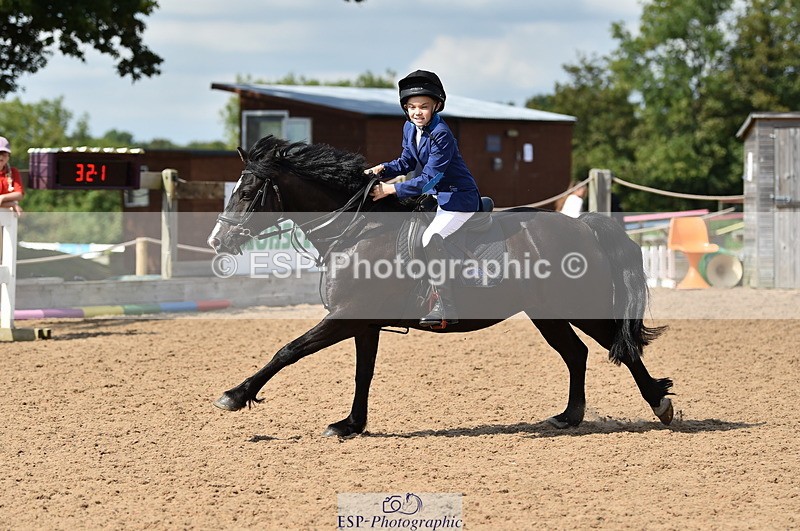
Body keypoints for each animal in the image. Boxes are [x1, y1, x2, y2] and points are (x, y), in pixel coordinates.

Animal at [207, 135, 673, 436]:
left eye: (247, 192)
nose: (217, 241)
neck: (356, 231)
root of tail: (583, 226)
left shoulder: (345, 316)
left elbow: (288, 351)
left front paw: (235, 394)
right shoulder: (363, 321)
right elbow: (363, 372)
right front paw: (351, 424)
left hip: (576, 306)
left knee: (621, 348)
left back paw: (659, 403)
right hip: (546, 313)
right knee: (577, 354)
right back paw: (569, 416)